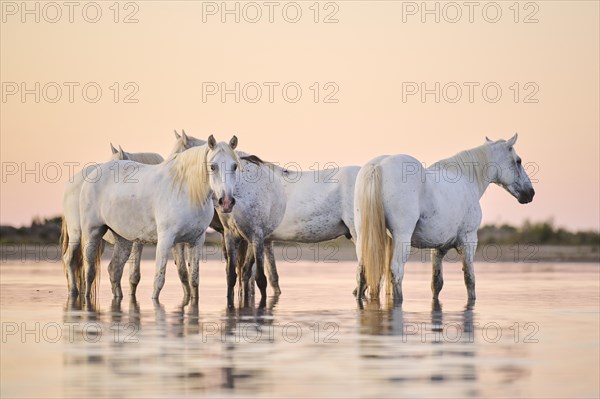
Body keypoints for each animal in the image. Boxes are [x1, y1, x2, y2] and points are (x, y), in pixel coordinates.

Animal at [76, 136, 240, 298]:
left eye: (235, 166)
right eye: (212, 166)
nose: (226, 202)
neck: (187, 191)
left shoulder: (196, 241)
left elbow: (194, 281)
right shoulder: (165, 240)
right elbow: (158, 281)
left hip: (123, 240)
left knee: (114, 269)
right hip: (92, 234)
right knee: (89, 272)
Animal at [352, 134, 536, 304]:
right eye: (518, 161)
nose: (530, 193)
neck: (466, 180)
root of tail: (377, 166)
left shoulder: (438, 248)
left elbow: (436, 283)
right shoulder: (469, 240)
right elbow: (470, 280)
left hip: (363, 236)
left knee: (362, 272)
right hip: (401, 237)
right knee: (396, 271)